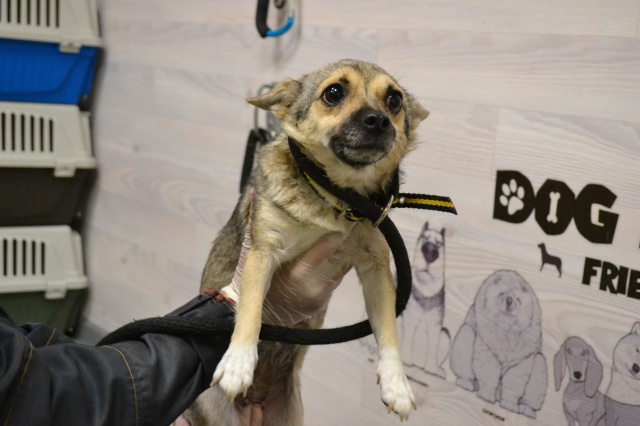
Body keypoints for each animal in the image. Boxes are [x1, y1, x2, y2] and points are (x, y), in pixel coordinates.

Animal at [180, 60, 430, 425]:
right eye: (334, 93)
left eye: (394, 101)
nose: (379, 119)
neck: (336, 199)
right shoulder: (262, 252)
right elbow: (251, 308)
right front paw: (238, 361)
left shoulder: (376, 267)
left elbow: (387, 330)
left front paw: (396, 383)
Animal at [400, 222, 450, 383]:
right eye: (424, 238)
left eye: (439, 244)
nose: (430, 251)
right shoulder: (410, 319)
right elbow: (409, 338)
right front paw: (406, 360)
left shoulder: (436, 326)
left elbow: (433, 347)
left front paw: (432, 369)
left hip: (445, 335)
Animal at [450, 270, 548, 418]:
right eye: (502, 293)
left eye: (518, 298)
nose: (509, 300)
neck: (506, 330)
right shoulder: (487, 344)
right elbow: (488, 371)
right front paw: (486, 395)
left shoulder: (523, 357)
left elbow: (514, 382)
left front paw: (510, 406)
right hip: (465, 334)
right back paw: (466, 383)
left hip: (540, 366)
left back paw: (527, 410)